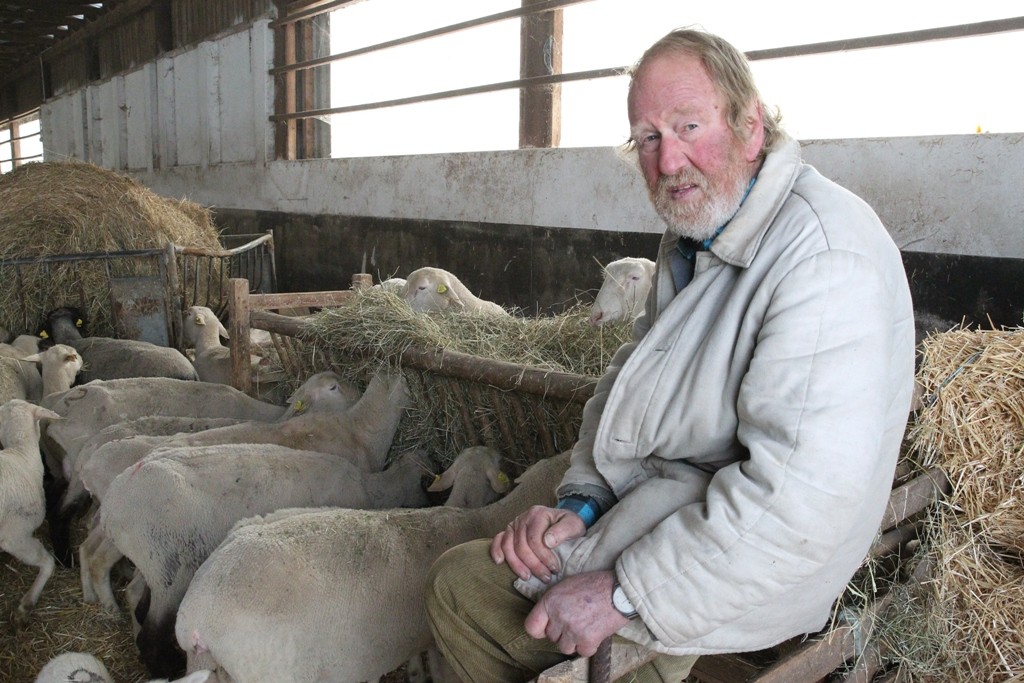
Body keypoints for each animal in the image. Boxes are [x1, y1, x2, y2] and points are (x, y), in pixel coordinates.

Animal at [103, 444, 436, 679]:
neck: (374, 489)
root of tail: (113, 499)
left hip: (152, 561)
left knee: (138, 599)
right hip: (169, 567)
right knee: (153, 630)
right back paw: (165, 666)